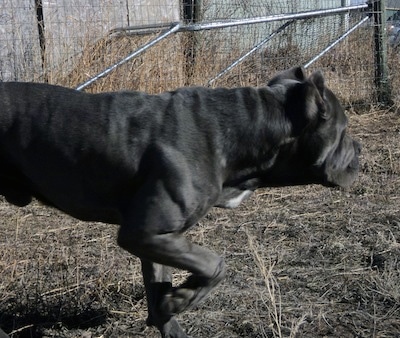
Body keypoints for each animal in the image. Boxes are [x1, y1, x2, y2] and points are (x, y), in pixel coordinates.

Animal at [0, 66, 360, 338]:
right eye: (343, 130)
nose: (359, 148)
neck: (245, 127)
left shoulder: (155, 240)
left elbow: (158, 284)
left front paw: (168, 313)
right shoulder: (145, 233)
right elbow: (215, 265)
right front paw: (180, 300)